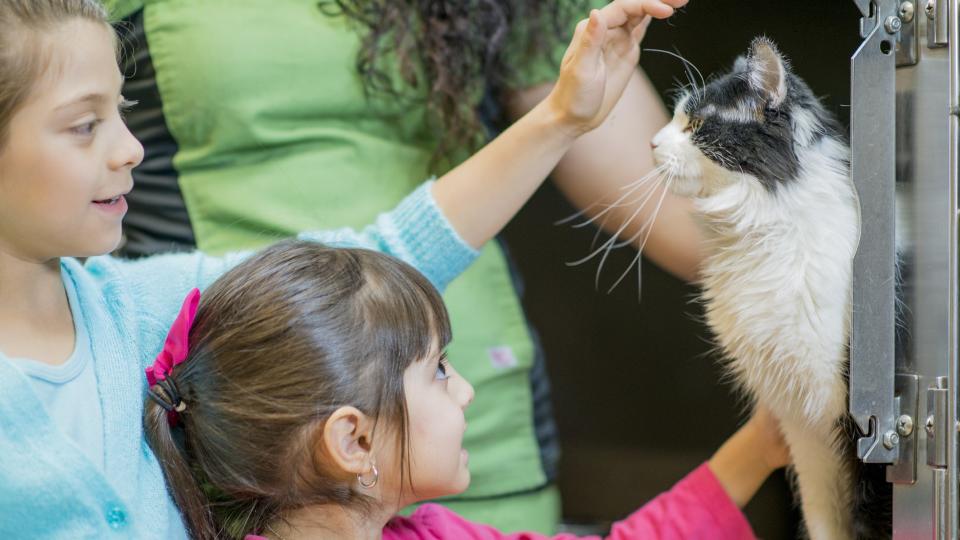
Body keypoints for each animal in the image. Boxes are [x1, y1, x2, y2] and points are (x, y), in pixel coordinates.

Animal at [648, 35, 888, 536]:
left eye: (695, 124)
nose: (652, 143)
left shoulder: (862, 435)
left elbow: (867, 522)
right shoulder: (805, 427)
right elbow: (824, 520)